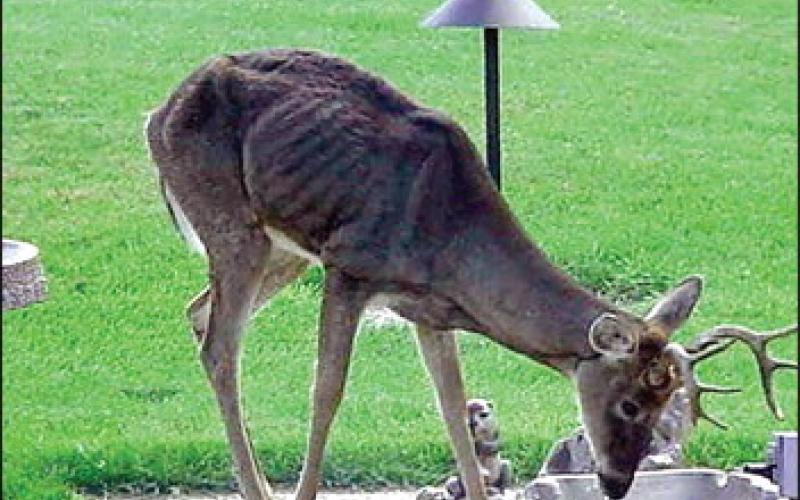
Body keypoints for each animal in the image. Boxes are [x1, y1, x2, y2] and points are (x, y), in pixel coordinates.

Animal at [144, 49, 797, 500]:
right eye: (631, 404)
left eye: (668, 404)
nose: (616, 483)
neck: (450, 246)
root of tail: (157, 113)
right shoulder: (350, 266)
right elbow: (326, 394)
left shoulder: (428, 313)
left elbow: (453, 408)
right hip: (232, 220)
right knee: (220, 347)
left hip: (283, 249)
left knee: (198, 313)